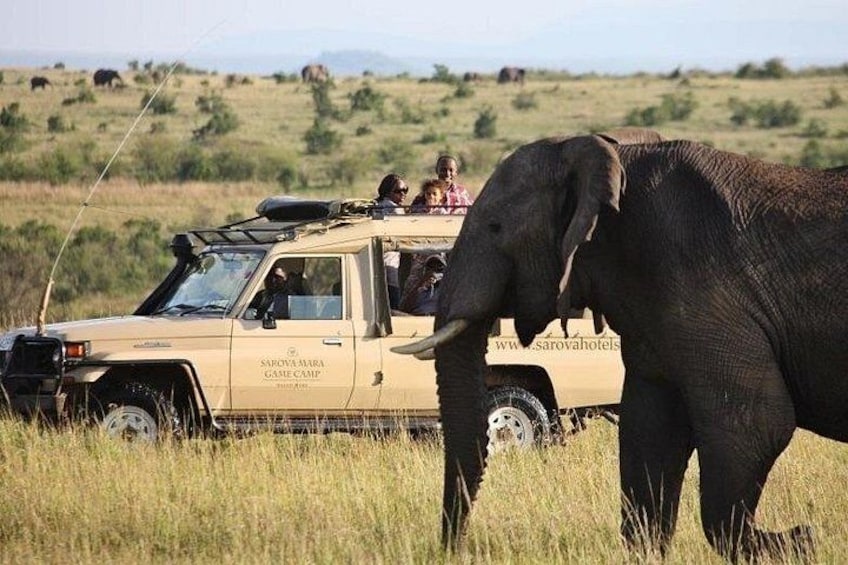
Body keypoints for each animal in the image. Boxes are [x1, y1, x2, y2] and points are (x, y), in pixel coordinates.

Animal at [392, 129, 848, 561]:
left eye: (495, 227)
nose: (452, 548)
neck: (613, 161)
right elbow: (648, 431)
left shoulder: (710, 291)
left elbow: (756, 423)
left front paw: (800, 542)